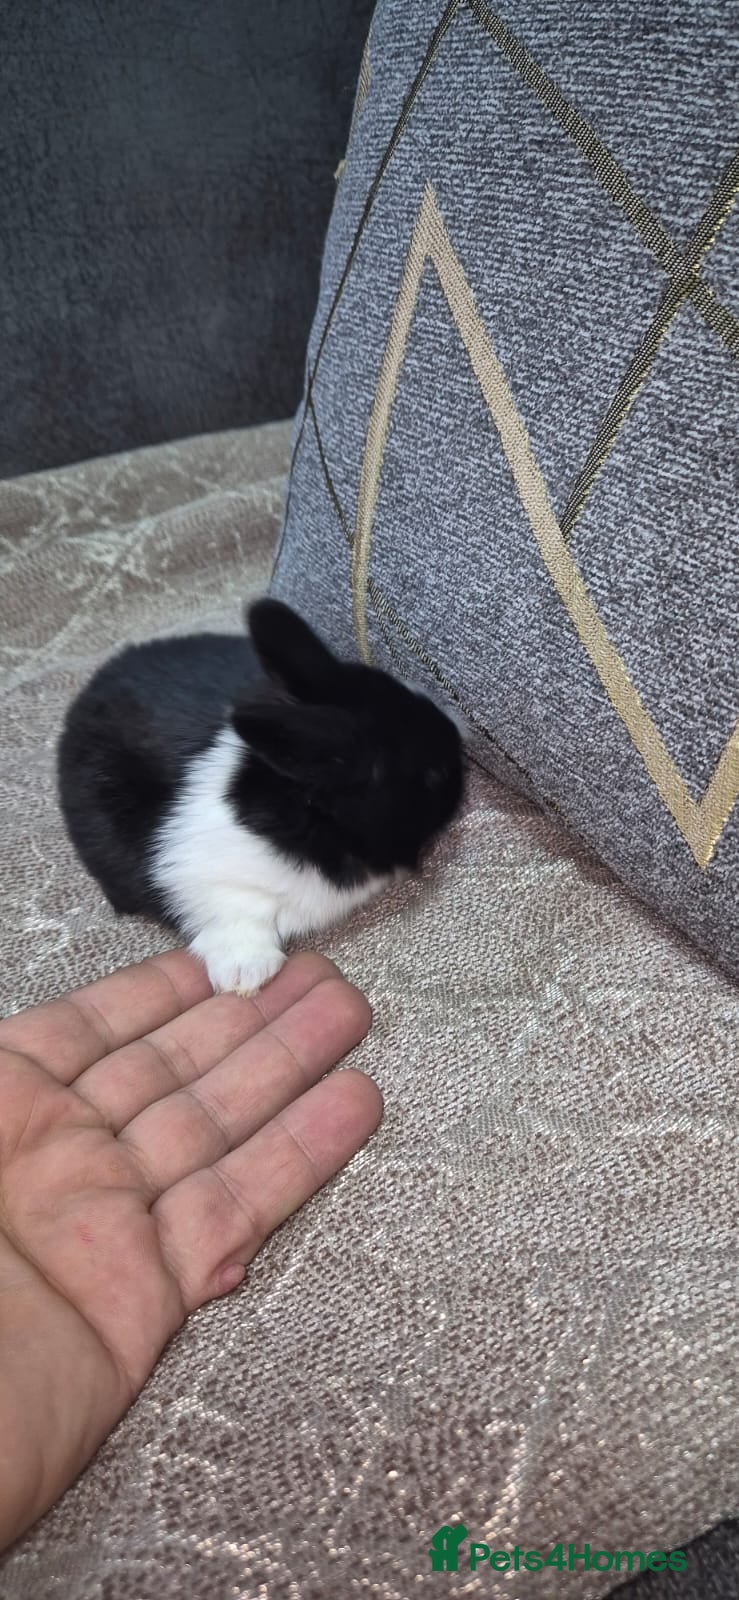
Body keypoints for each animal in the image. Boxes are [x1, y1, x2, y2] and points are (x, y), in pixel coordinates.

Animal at [57, 599, 465, 994]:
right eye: (435, 775)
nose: (461, 739)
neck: (302, 808)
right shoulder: (191, 870)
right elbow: (235, 910)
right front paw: (245, 974)